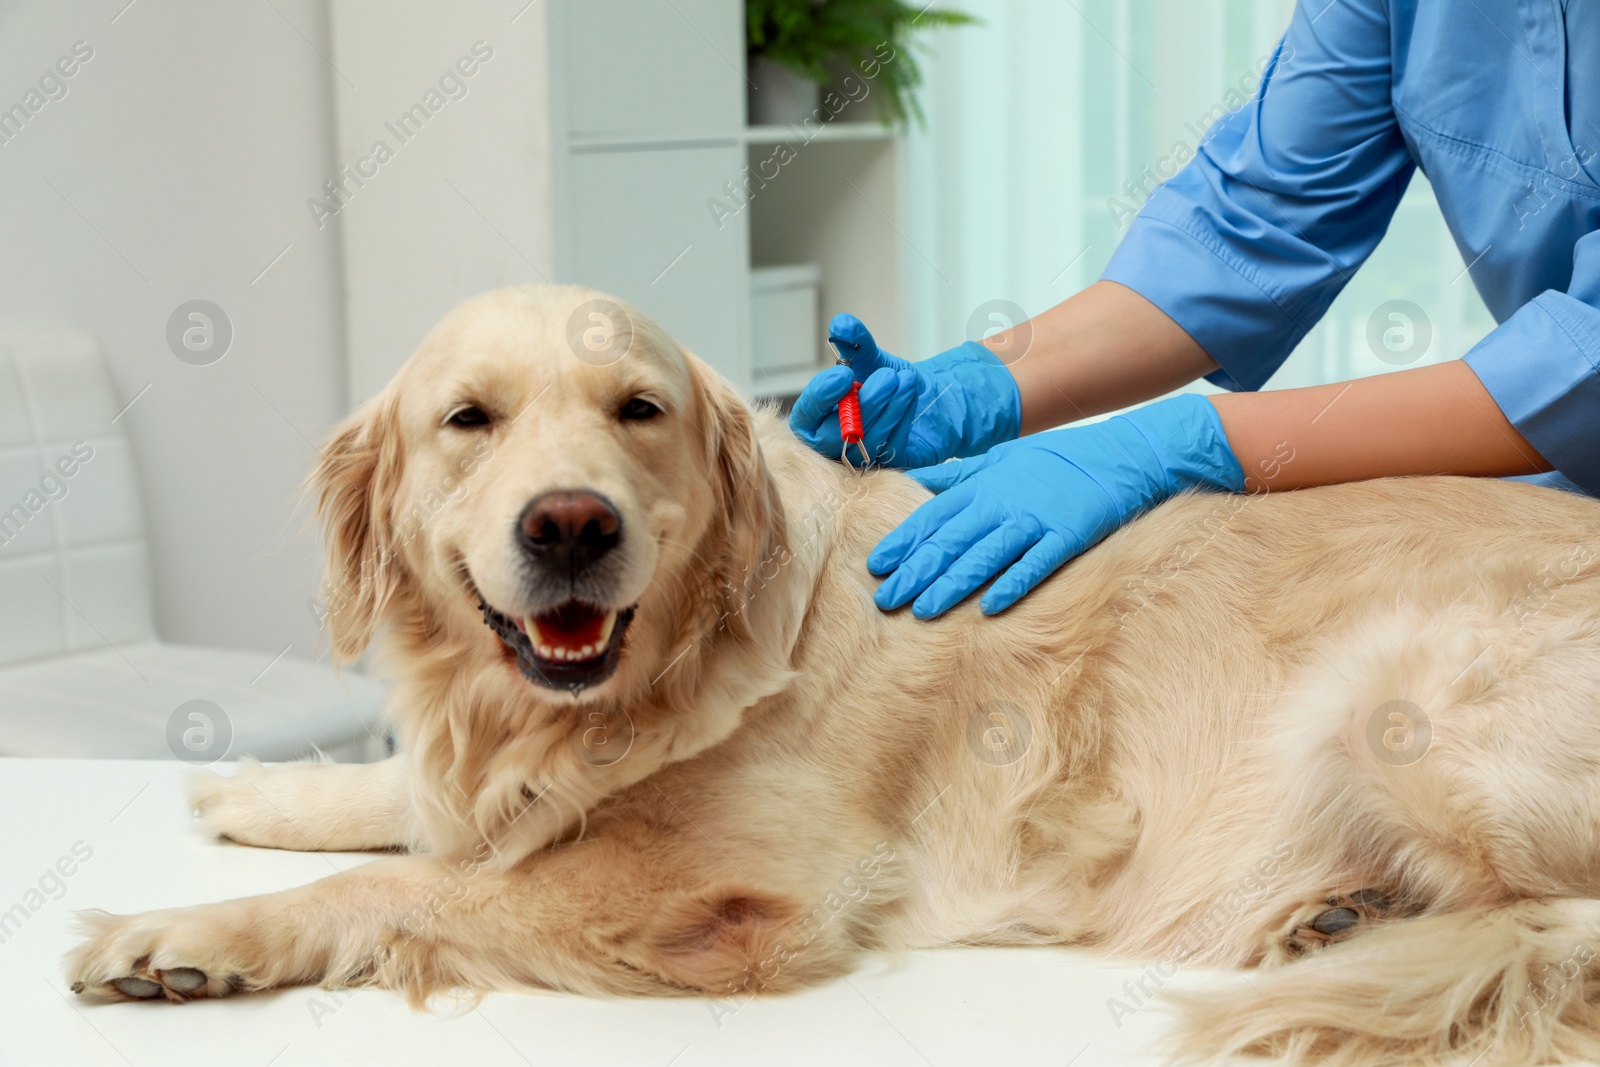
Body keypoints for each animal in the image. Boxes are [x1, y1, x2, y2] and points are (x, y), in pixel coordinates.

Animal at [68, 286, 1600, 1067]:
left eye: (639, 410)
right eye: (469, 419)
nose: (570, 525)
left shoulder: (740, 897)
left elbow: (422, 884)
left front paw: (181, 932)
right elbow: (420, 806)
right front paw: (252, 791)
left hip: (1401, 690)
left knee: (1554, 917)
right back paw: (1341, 917)